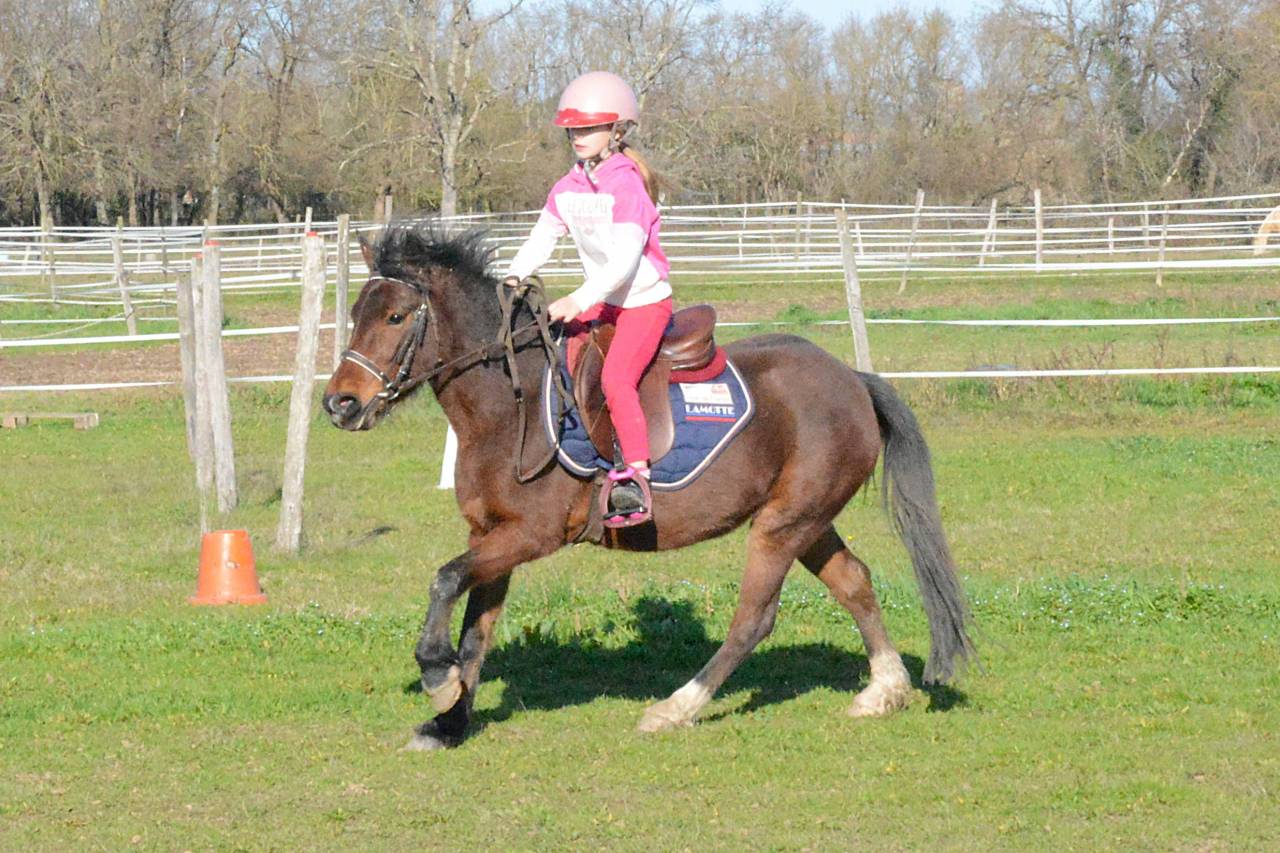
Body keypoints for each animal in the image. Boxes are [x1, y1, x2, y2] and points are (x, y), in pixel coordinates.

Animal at [323, 224, 975, 750]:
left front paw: (436, 676)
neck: (508, 408)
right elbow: (474, 628)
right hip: (805, 520)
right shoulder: (491, 536)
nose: (340, 404)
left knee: (754, 618)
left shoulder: (531, 535)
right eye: (355, 313)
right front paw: (451, 721)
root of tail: (852, 378)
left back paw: (676, 708)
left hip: (781, 526)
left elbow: (444, 581)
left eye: (396, 317)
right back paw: (885, 691)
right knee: (855, 583)